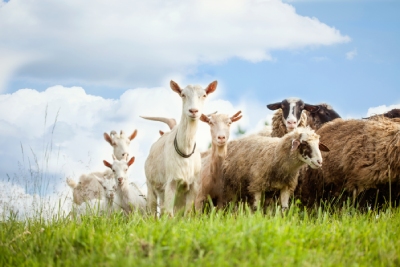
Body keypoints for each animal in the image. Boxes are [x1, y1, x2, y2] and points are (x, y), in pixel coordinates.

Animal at [144, 80, 217, 218]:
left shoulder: (193, 186)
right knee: (153, 208)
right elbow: (169, 214)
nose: (193, 111)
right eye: (183, 94)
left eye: (204, 95)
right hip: (151, 185)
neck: (185, 151)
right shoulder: (171, 183)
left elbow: (187, 213)